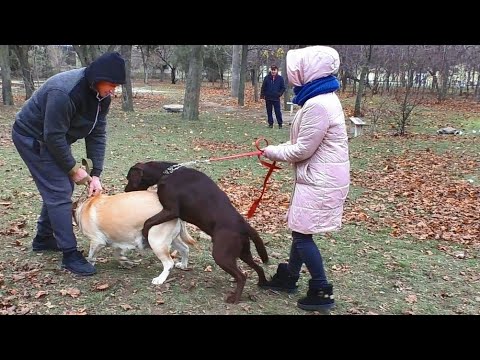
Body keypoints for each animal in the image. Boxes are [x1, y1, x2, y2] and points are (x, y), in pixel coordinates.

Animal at [125, 162, 268, 302]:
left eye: (129, 178)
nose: (125, 190)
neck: (167, 172)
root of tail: (244, 226)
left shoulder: (171, 210)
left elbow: (148, 222)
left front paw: (144, 234)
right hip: (243, 253)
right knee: (259, 268)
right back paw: (263, 283)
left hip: (221, 255)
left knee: (242, 277)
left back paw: (235, 299)